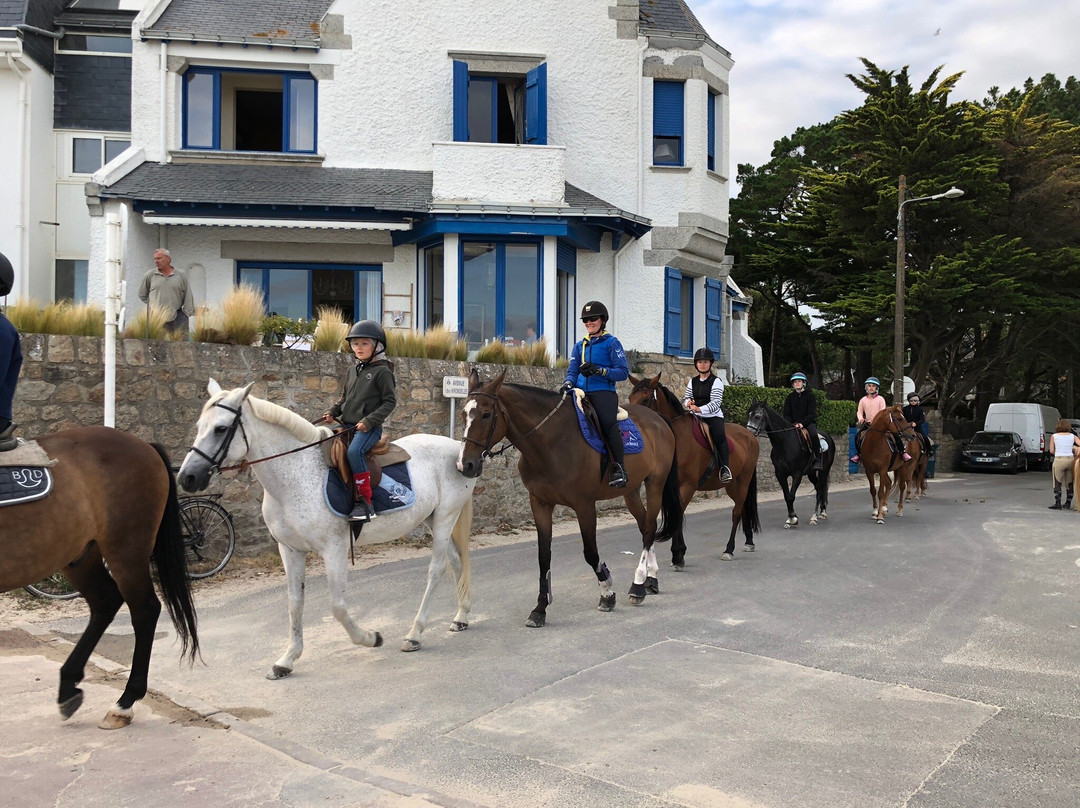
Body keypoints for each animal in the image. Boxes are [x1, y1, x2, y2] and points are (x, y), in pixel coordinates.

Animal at [0, 425, 198, 730]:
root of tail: (144, 446)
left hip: (126, 550)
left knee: (144, 610)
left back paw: (124, 703)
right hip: (81, 556)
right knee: (106, 602)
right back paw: (69, 687)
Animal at [179, 378, 475, 674]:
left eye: (220, 428)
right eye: (199, 426)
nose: (187, 477)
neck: (295, 475)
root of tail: (456, 450)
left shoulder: (334, 548)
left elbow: (338, 607)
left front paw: (370, 638)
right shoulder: (290, 550)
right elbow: (294, 603)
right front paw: (287, 659)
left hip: (445, 517)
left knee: (437, 568)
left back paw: (415, 634)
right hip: (433, 520)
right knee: (455, 560)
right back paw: (460, 616)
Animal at [457, 369, 678, 626]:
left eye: (485, 414)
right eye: (463, 414)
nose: (465, 464)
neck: (550, 442)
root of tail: (657, 418)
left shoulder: (584, 505)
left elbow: (591, 553)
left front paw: (607, 593)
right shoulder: (540, 503)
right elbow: (544, 556)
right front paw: (540, 608)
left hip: (655, 483)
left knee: (650, 527)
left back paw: (638, 584)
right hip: (630, 490)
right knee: (644, 527)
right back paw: (651, 579)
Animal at [626, 375, 760, 566]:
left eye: (645, 399)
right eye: (630, 398)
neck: (677, 437)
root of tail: (750, 435)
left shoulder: (688, 486)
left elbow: (679, 514)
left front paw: (678, 554)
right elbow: (676, 513)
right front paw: (678, 554)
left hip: (744, 481)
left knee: (736, 513)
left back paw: (729, 549)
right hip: (732, 485)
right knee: (742, 509)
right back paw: (749, 541)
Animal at [751, 399, 833, 527]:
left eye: (757, 416)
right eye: (748, 414)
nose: (748, 431)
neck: (785, 443)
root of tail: (828, 437)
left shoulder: (797, 474)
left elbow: (791, 496)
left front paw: (793, 518)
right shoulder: (780, 474)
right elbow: (786, 496)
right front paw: (791, 518)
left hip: (824, 471)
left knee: (821, 488)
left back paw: (816, 515)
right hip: (811, 473)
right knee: (818, 488)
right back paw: (818, 514)